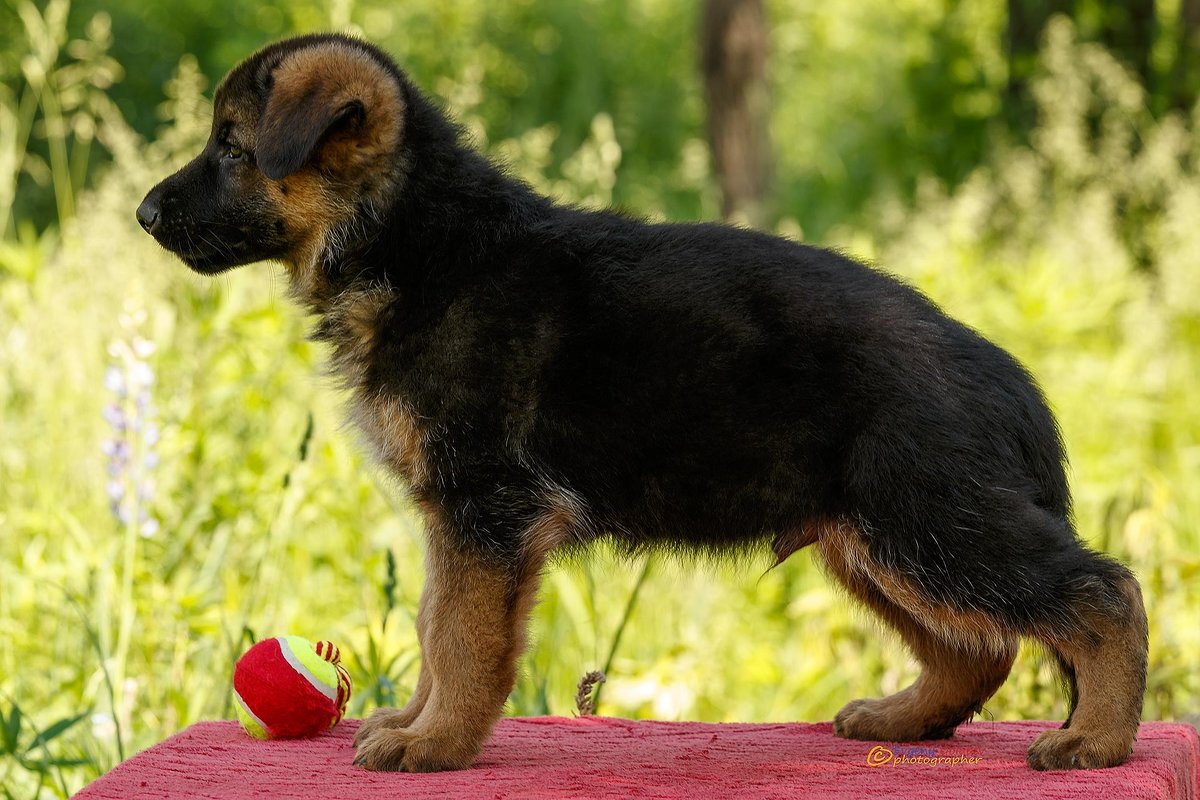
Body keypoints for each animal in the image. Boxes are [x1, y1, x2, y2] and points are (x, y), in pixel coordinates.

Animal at [136, 34, 1147, 772]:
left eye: (233, 148)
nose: (144, 215)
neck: (414, 240)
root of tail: (1006, 377)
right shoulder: (459, 521)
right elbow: (431, 622)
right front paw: (415, 722)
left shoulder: (486, 513)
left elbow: (460, 635)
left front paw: (437, 743)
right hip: (874, 539)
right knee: (979, 647)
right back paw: (906, 719)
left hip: (928, 519)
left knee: (1103, 591)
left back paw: (1095, 740)